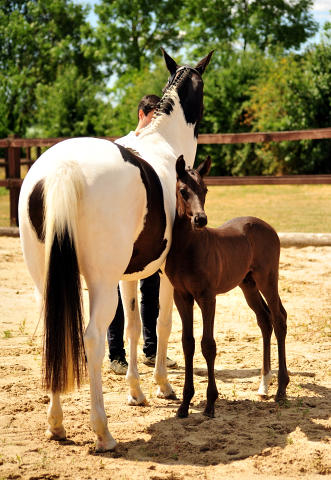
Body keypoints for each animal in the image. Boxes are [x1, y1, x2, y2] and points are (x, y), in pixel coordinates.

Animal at [167, 156, 290, 418]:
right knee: (265, 320)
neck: (188, 249)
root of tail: (268, 226)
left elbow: (208, 345)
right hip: (248, 285)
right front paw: (184, 405)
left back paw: (281, 390)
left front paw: (210, 403)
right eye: (182, 190)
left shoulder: (207, 296)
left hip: (267, 279)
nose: (200, 220)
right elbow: (187, 343)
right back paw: (264, 385)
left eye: (205, 189)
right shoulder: (181, 296)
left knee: (279, 319)